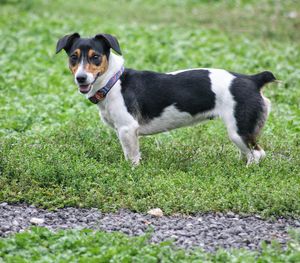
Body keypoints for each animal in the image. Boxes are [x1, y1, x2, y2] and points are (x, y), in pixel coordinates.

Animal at [56, 32, 276, 165]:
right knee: (249, 153)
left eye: (95, 57)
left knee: (258, 154)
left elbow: (132, 158)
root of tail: (253, 79)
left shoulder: (128, 129)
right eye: (74, 57)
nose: (81, 78)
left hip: (239, 130)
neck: (113, 82)